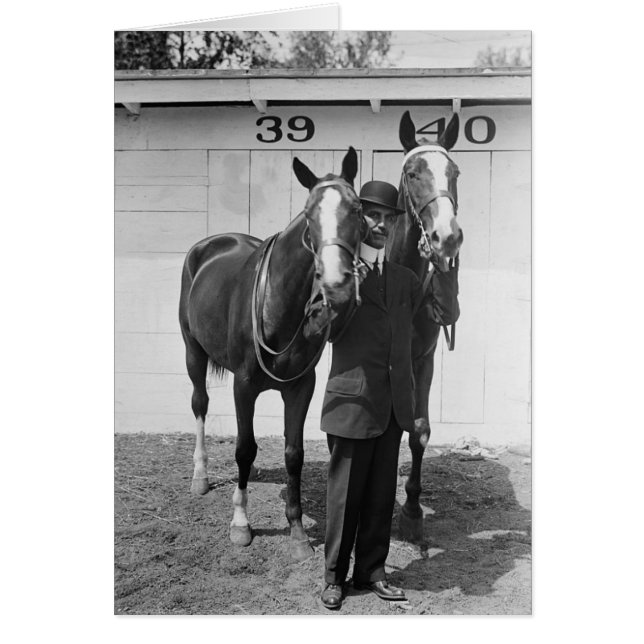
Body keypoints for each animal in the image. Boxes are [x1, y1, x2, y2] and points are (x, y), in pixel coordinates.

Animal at [178, 148, 364, 561]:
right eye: (309, 213)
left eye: (357, 208)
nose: (337, 284)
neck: (278, 305)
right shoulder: (244, 385)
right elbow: (244, 448)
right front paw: (240, 524)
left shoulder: (301, 386)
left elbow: (293, 453)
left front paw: (297, 532)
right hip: (193, 352)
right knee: (199, 405)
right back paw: (200, 476)